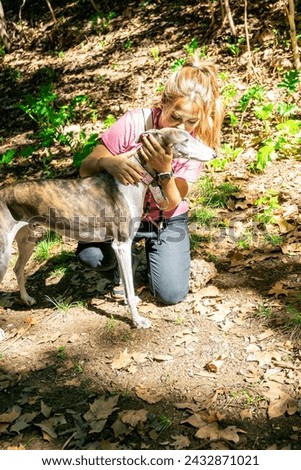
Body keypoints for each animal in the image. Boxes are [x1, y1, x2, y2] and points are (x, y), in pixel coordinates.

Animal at [0, 126, 216, 328]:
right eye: (185, 140)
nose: (214, 154)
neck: (135, 179)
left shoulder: (121, 246)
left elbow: (126, 282)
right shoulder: (121, 244)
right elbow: (129, 287)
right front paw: (137, 320)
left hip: (28, 240)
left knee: (18, 268)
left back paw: (27, 298)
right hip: (4, 254)